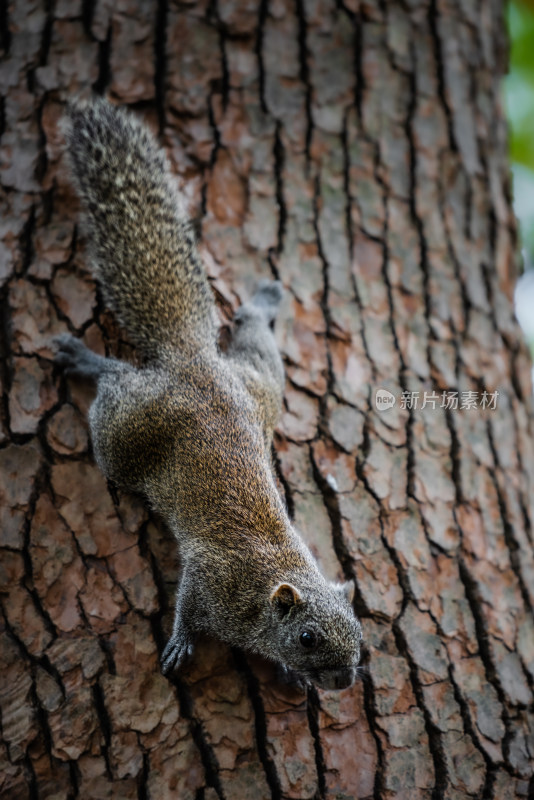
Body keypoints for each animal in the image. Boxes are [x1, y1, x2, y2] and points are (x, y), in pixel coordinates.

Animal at [55, 97, 364, 692]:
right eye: (308, 637)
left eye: (360, 632)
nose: (342, 681)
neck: (268, 589)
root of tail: (195, 361)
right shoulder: (213, 582)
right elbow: (186, 605)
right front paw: (180, 642)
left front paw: (289, 676)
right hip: (128, 430)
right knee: (115, 384)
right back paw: (85, 361)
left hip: (260, 389)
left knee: (256, 338)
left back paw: (265, 299)